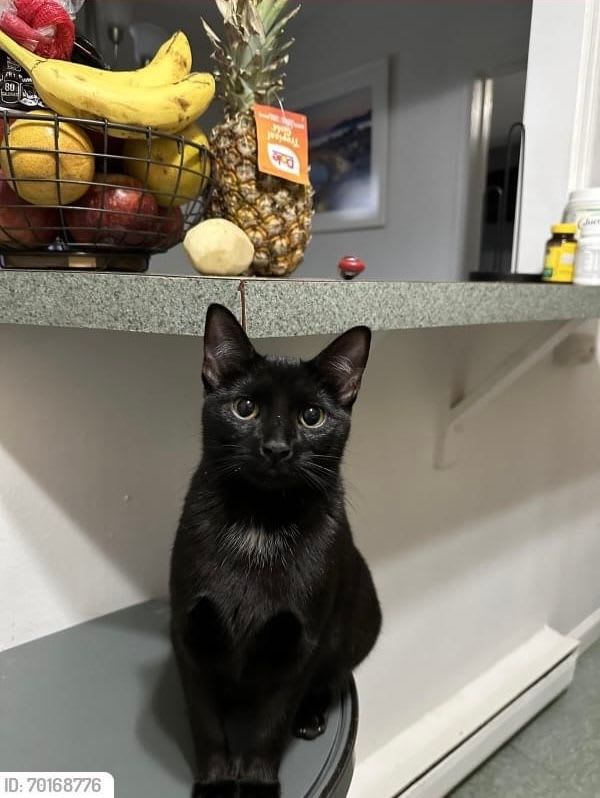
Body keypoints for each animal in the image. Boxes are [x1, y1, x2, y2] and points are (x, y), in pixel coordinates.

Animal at [170, 303, 382, 798]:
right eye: (245, 408)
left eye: (312, 417)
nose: (277, 448)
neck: (259, 521)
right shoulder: (189, 631)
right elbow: (205, 722)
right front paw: (215, 782)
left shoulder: (298, 644)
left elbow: (270, 724)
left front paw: (257, 783)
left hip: (360, 626)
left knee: (331, 678)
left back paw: (311, 716)